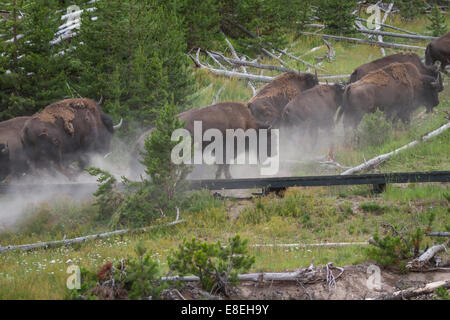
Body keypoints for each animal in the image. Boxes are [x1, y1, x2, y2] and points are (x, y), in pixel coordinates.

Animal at [128, 101, 272, 179]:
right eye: (268, 137)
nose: (271, 154)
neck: (246, 122)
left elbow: (222, 164)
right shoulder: (228, 149)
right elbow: (225, 164)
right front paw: (228, 177)